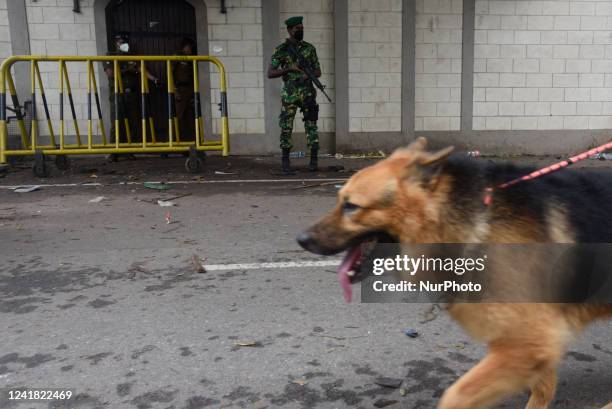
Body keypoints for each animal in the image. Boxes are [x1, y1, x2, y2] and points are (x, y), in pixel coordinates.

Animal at [298, 138, 612, 408]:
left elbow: (456, 395)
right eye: (340, 200)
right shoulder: (536, 342)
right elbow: (543, 388)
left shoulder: (529, 342)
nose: (300, 239)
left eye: (351, 206)